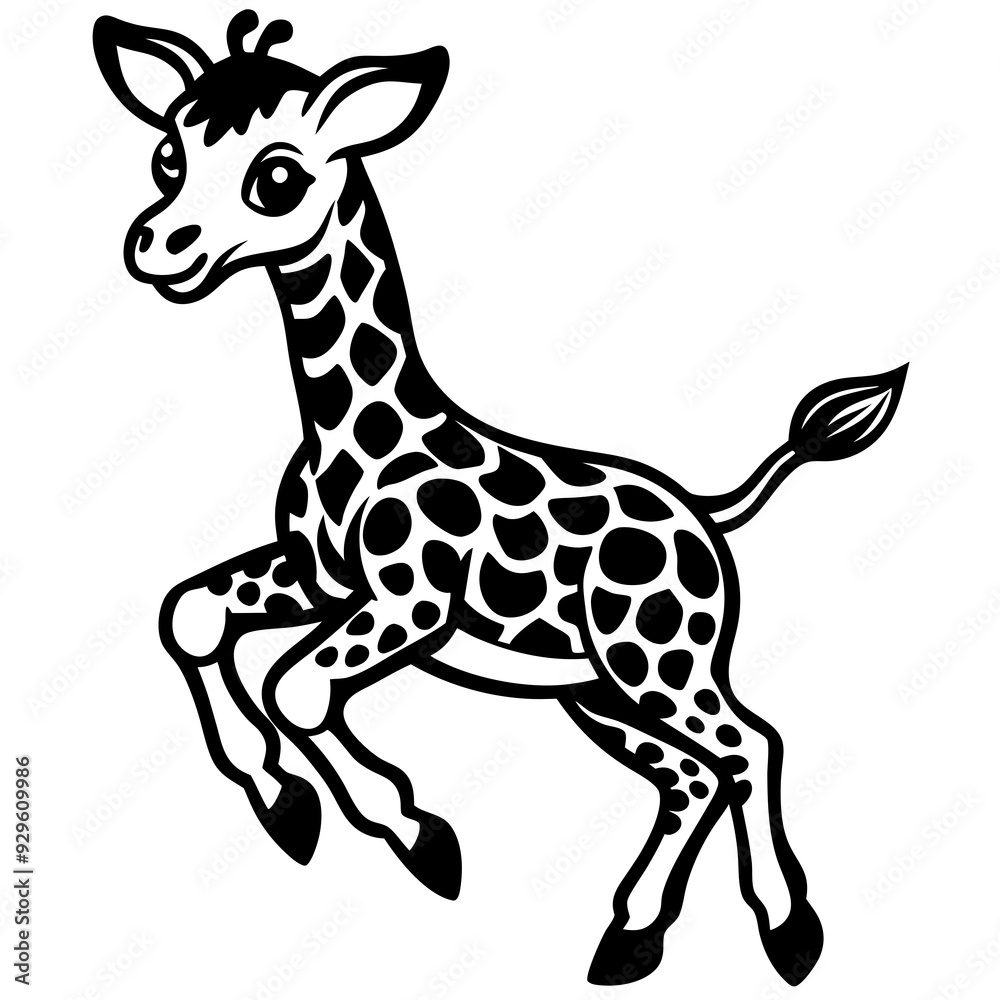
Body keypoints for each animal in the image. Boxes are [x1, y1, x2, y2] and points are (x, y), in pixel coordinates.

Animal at [94, 11, 907, 987]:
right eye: (167, 156)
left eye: (278, 173)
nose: (157, 245)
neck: (354, 434)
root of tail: (708, 514)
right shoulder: (318, 578)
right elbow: (194, 618)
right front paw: (286, 804)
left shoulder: (411, 602)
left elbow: (298, 687)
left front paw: (414, 832)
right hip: (597, 689)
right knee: (691, 775)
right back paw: (630, 937)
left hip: (660, 657)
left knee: (750, 746)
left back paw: (789, 933)